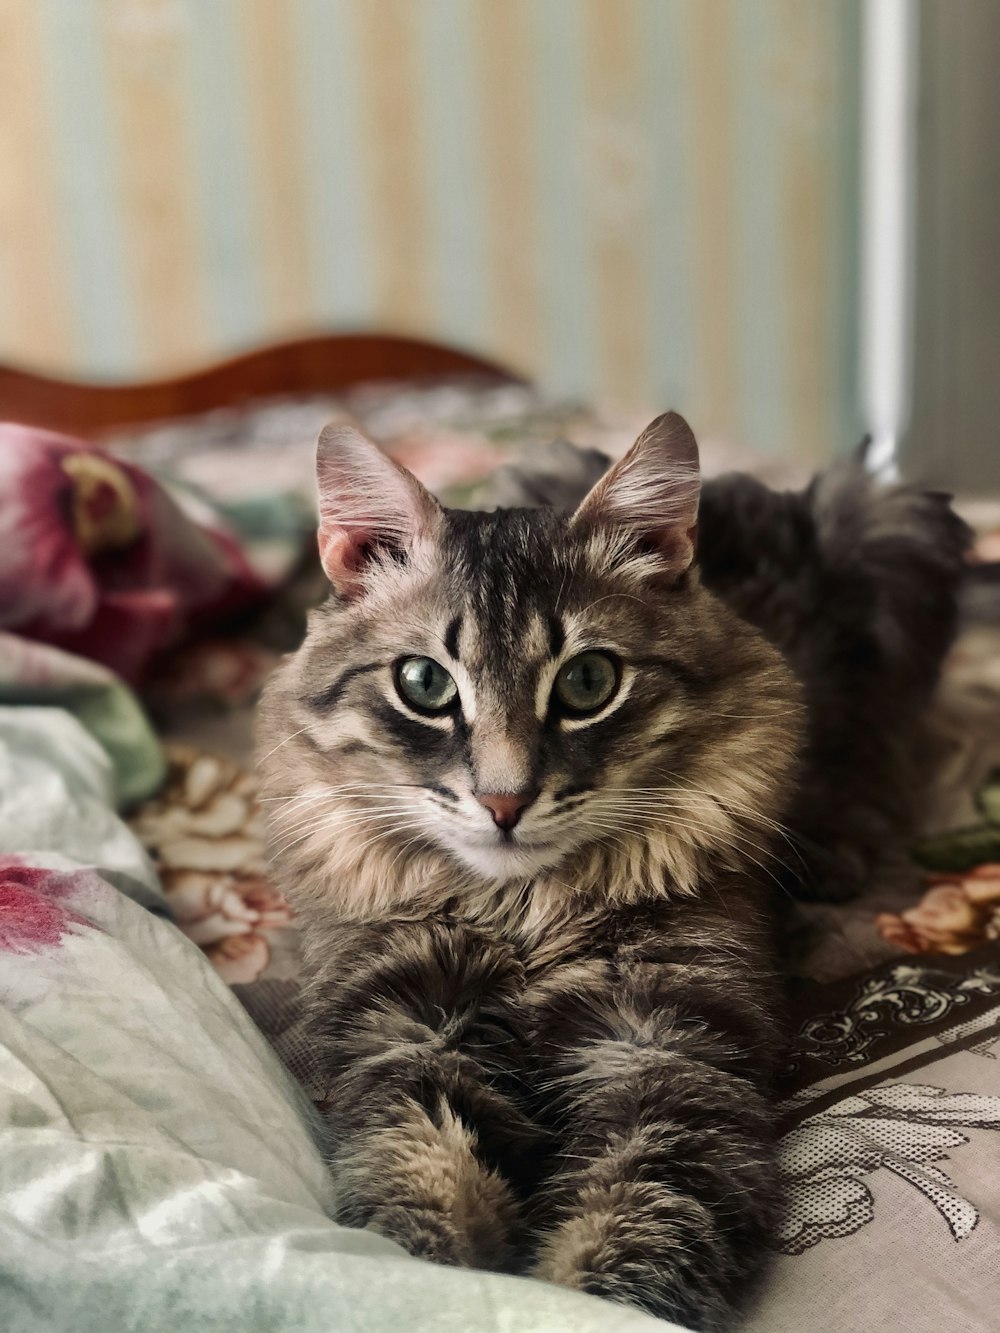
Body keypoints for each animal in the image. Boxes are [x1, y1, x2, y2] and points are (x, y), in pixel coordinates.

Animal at [258, 410, 970, 1327]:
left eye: (589, 680)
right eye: (424, 683)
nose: (504, 800)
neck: (524, 913)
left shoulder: (667, 1054)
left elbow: (634, 1229)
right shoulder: (408, 1035)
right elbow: (422, 1198)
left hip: (896, 538)